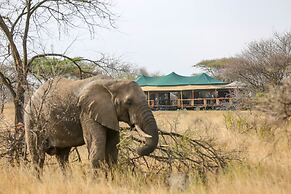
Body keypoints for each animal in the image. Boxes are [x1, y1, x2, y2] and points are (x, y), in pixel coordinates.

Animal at [24, 76, 160, 173]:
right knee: (38, 157)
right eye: (129, 102)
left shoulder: (109, 114)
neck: (112, 82)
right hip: (32, 120)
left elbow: (112, 149)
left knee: (62, 157)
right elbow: (96, 145)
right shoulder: (86, 112)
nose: (138, 149)